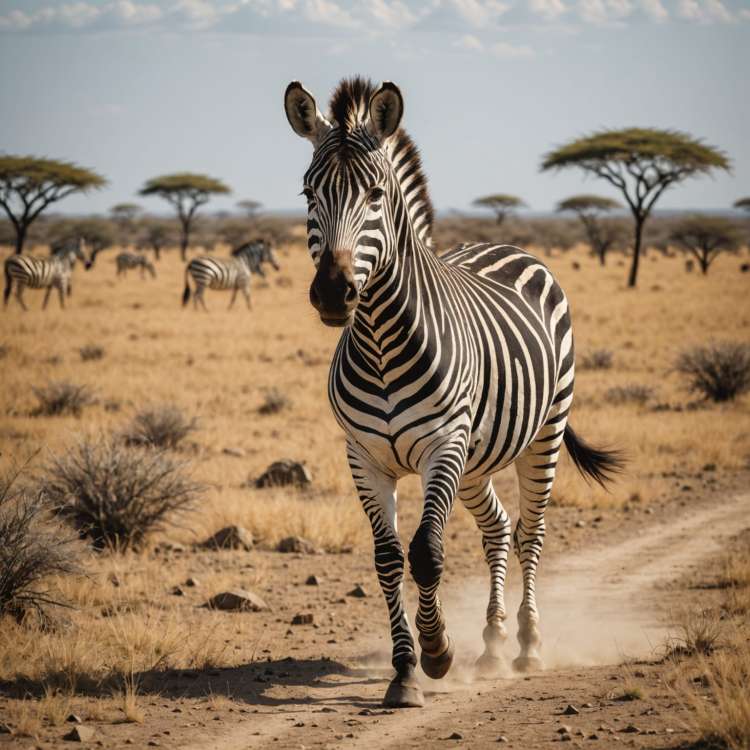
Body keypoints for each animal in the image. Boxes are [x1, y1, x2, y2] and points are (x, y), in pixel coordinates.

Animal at [284, 77, 622, 708]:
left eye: (375, 193)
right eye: (308, 191)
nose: (334, 293)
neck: (381, 340)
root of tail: (507, 246)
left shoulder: (443, 444)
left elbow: (426, 552)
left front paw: (437, 652)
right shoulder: (365, 456)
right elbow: (389, 558)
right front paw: (403, 670)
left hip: (543, 432)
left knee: (531, 533)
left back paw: (527, 645)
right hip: (476, 460)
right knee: (498, 528)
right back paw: (490, 645)